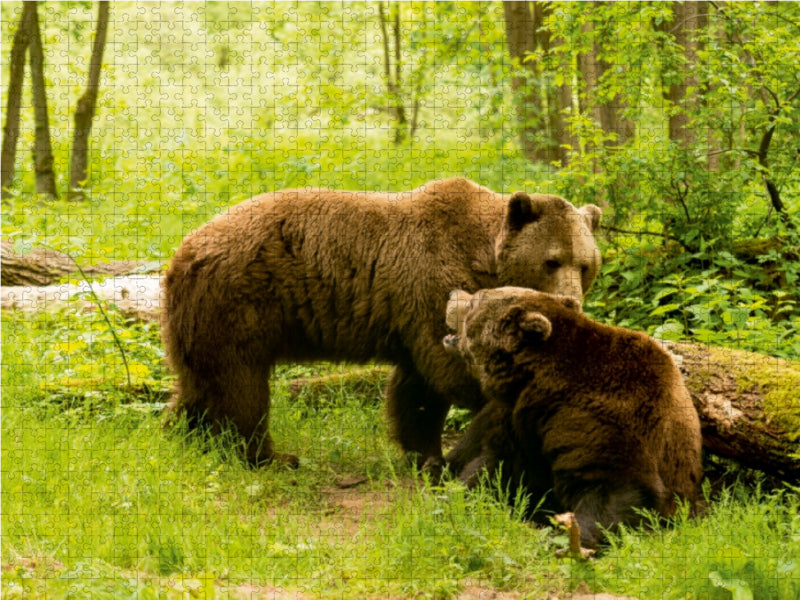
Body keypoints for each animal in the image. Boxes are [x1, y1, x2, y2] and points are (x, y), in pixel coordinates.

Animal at [161, 178, 602, 467]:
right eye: (551, 261)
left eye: (585, 263)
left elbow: (416, 390)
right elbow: (448, 369)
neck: (481, 258)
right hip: (242, 303)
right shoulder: (432, 281)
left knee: (200, 383)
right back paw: (269, 456)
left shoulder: (411, 314)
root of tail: (182, 251)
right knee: (241, 387)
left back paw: (180, 434)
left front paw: (425, 454)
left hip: (202, 318)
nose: (573, 301)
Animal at [442, 287, 703, 549]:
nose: (453, 293)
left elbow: (615, 488)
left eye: (475, 300)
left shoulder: (608, 420)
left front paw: (568, 538)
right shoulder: (520, 420)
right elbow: (491, 466)